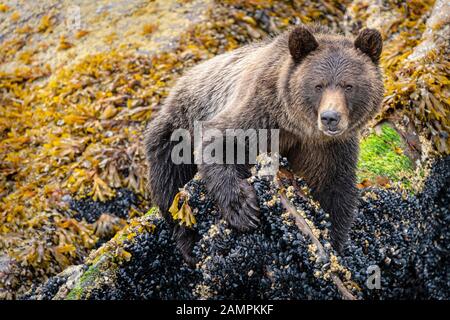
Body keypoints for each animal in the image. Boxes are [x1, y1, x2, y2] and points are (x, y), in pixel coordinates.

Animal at [144, 25, 384, 264]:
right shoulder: (259, 111)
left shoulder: (326, 148)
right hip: (177, 128)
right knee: (170, 183)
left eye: (349, 86)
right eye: (318, 85)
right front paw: (243, 208)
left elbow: (333, 189)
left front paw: (333, 244)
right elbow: (220, 141)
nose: (330, 117)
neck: (296, 126)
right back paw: (188, 243)